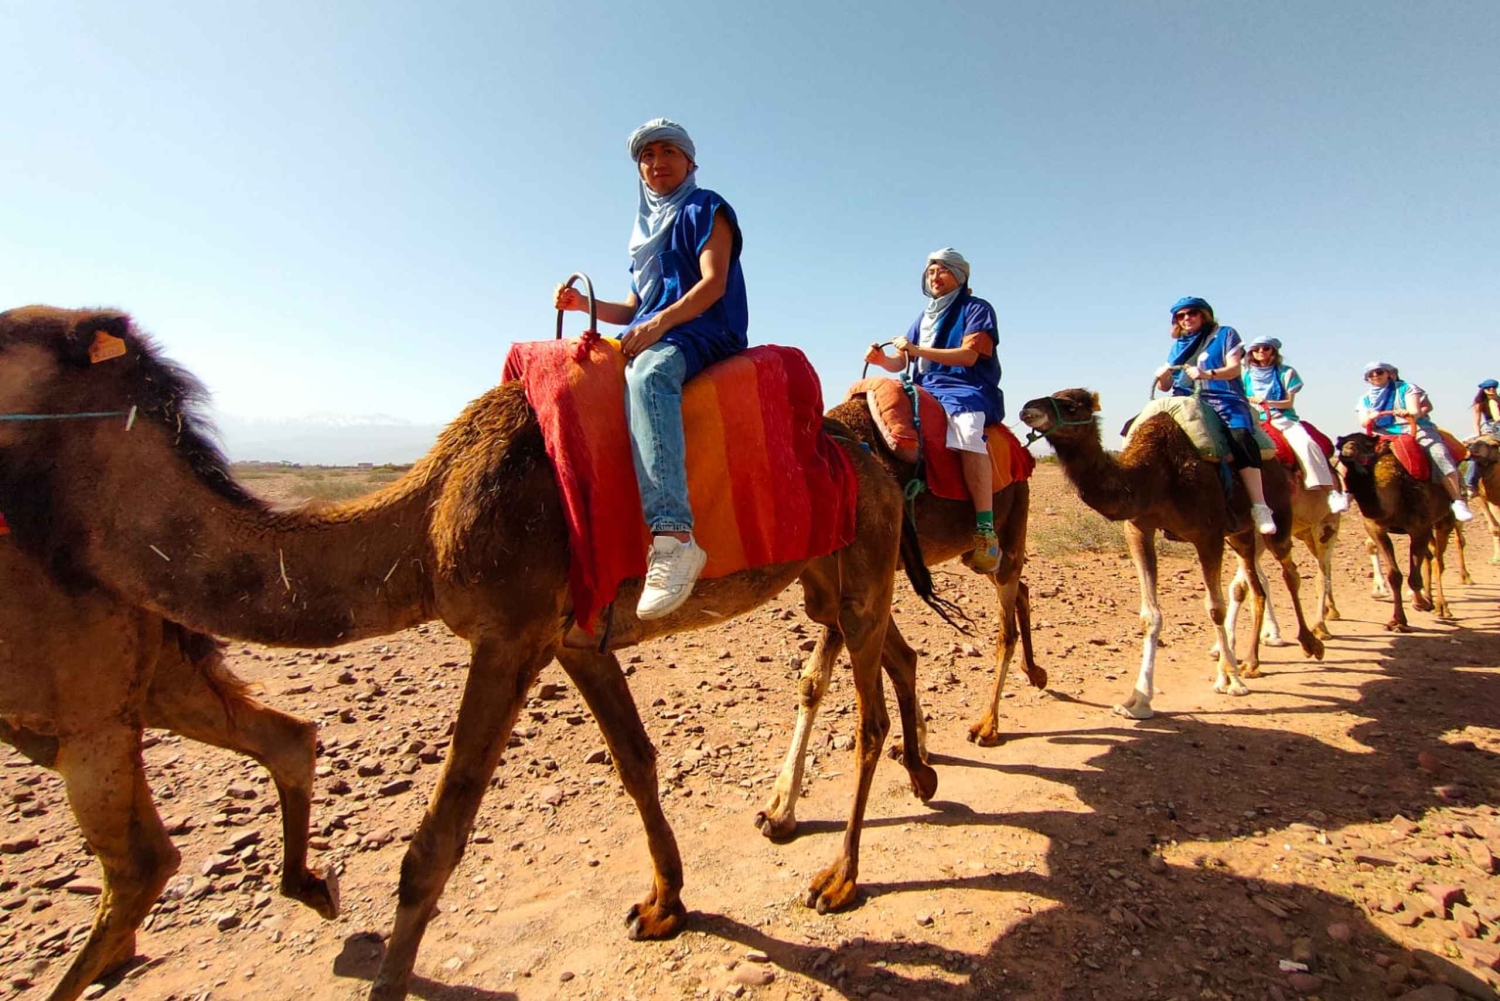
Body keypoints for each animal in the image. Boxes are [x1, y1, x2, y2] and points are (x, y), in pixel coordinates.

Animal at [754, 390, 1040, 838]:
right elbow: (820, 680)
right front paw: (780, 809)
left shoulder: (861, 577)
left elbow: (849, 672)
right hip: (974, 556)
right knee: (1021, 592)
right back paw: (1035, 674)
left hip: (1009, 530)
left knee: (1006, 625)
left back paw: (988, 726)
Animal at [1017, 389, 1324, 720]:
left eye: (1071, 406)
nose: (1028, 409)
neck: (1158, 476)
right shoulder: (1139, 528)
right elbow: (1150, 616)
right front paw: (1138, 701)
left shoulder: (1208, 534)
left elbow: (1214, 608)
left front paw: (1233, 681)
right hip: (1240, 535)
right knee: (1256, 587)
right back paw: (1251, 662)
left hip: (1274, 518)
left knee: (1289, 570)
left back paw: (1310, 643)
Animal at [1337, 432, 1463, 630]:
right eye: (1339, 445)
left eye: (1366, 445)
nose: (1348, 448)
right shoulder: (1376, 528)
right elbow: (1395, 575)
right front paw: (1397, 621)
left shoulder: (1419, 528)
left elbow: (1414, 577)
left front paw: (1419, 603)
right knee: (1430, 556)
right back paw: (1430, 599)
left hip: (1445, 518)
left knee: (1438, 560)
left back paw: (1442, 607)